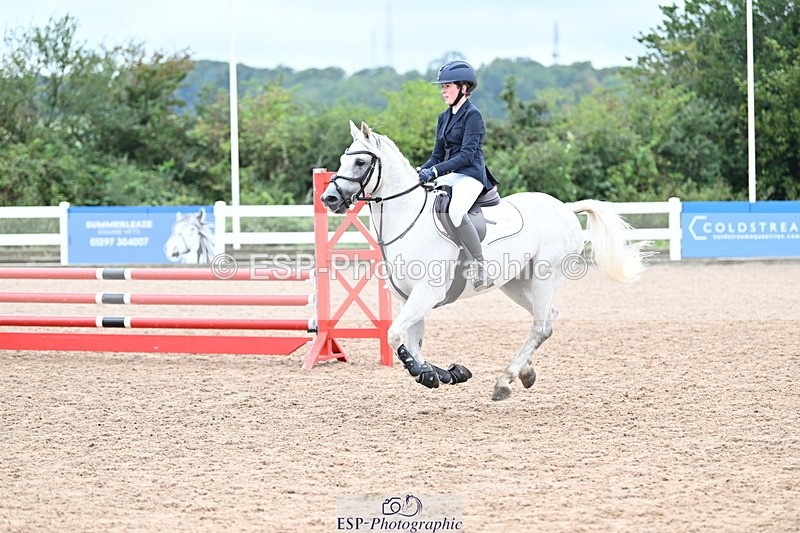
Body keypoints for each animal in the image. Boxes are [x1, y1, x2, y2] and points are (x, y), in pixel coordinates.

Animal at [321, 121, 648, 401]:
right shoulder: (408, 298)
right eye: (342, 159)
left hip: (545, 276)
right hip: (514, 283)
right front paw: (447, 373)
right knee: (548, 317)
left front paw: (426, 374)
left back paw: (505, 381)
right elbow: (411, 343)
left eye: (360, 163)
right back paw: (525, 373)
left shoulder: (427, 294)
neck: (408, 220)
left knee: (540, 325)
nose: (329, 199)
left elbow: (394, 336)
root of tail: (566, 208)